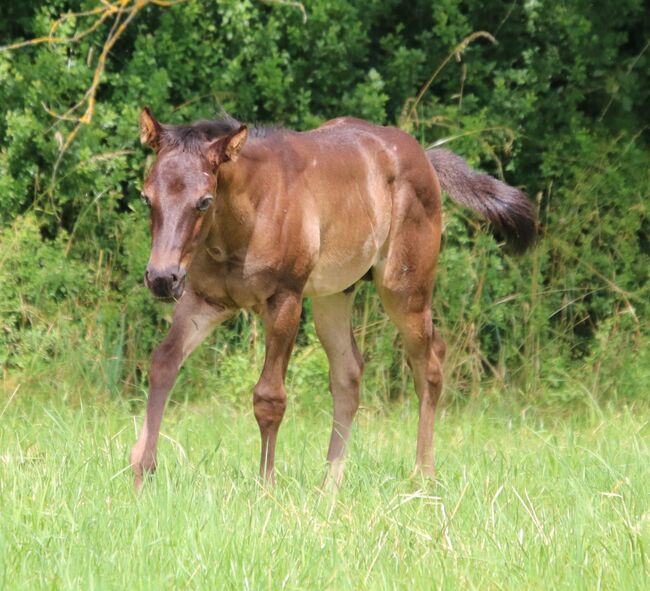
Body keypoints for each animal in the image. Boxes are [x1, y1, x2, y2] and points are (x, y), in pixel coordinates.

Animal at [129, 107, 536, 490]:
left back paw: (422, 474)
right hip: (335, 295)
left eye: (204, 201)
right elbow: (163, 363)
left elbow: (270, 397)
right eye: (147, 197)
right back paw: (331, 484)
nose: (161, 278)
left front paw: (266, 486)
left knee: (430, 362)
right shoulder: (204, 298)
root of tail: (424, 156)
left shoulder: (285, 299)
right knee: (348, 373)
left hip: (405, 289)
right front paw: (141, 472)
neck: (248, 214)